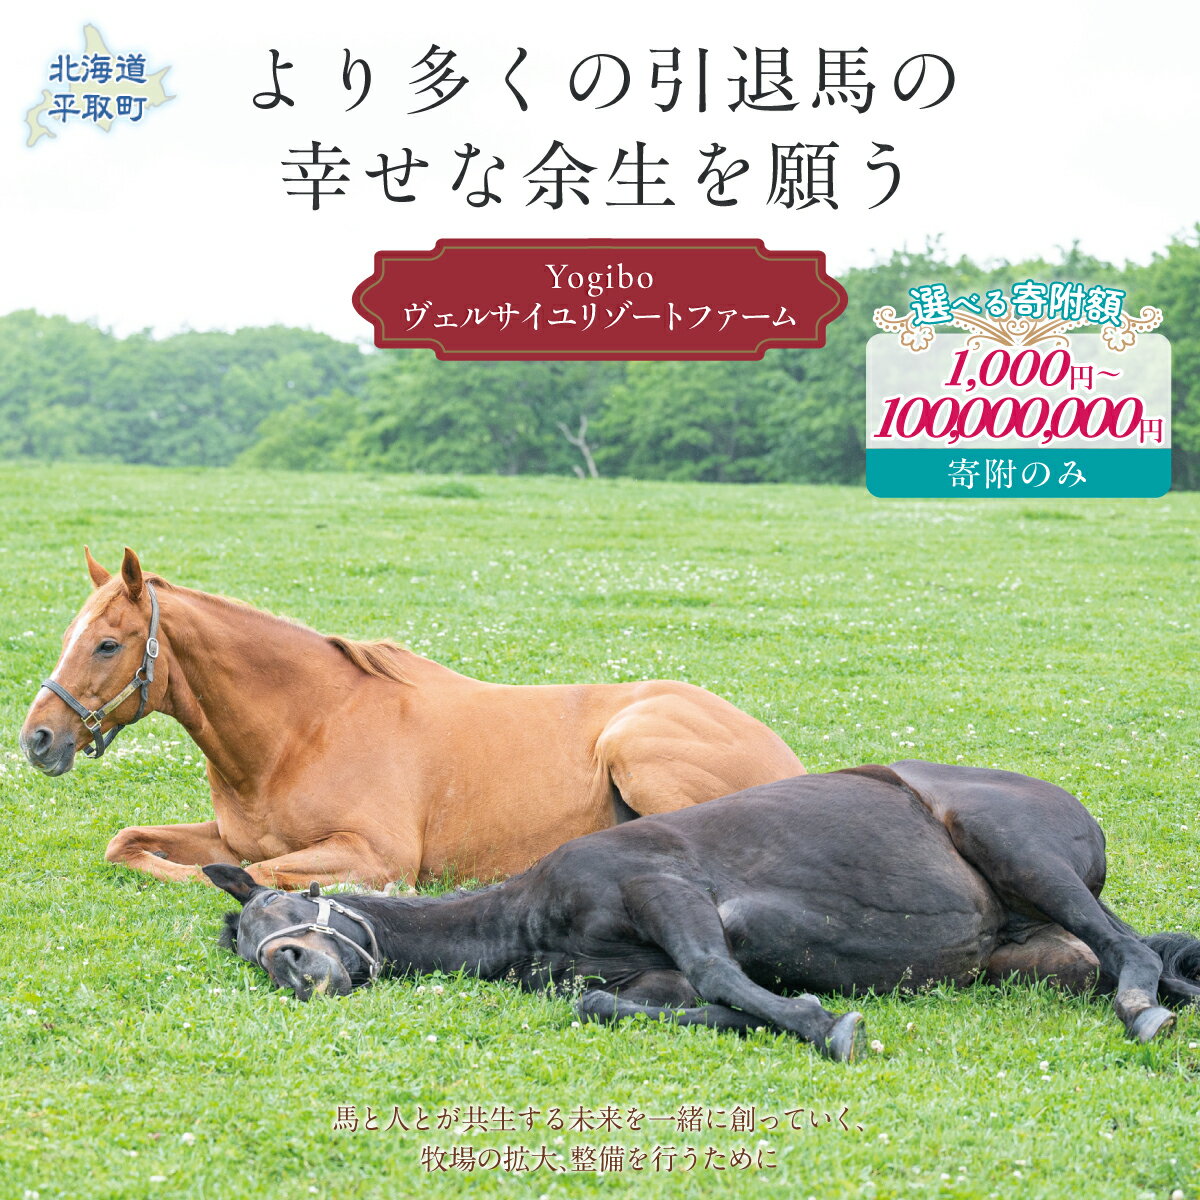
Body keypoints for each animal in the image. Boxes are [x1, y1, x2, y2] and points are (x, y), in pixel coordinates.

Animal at [19, 547, 803, 889]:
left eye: (108, 643)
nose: (37, 738)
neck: (302, 731)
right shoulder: (230, 834)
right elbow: (130, 844)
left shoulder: (374, 852)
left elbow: (250, 873)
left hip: (636, 747)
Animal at [205, 762, 1200, 1060]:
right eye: (251, 946)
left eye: (290, 904)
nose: (297, 967)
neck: (526, 914)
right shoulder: (645, 978)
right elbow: (610, 1002)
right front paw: (773, 1018)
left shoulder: (667, 890)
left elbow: (721, 969)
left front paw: (826, 1026)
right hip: (1040, 956)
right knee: (1138, 956)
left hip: (1017, 850)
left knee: (1131, 955)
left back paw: (1142, 1009)